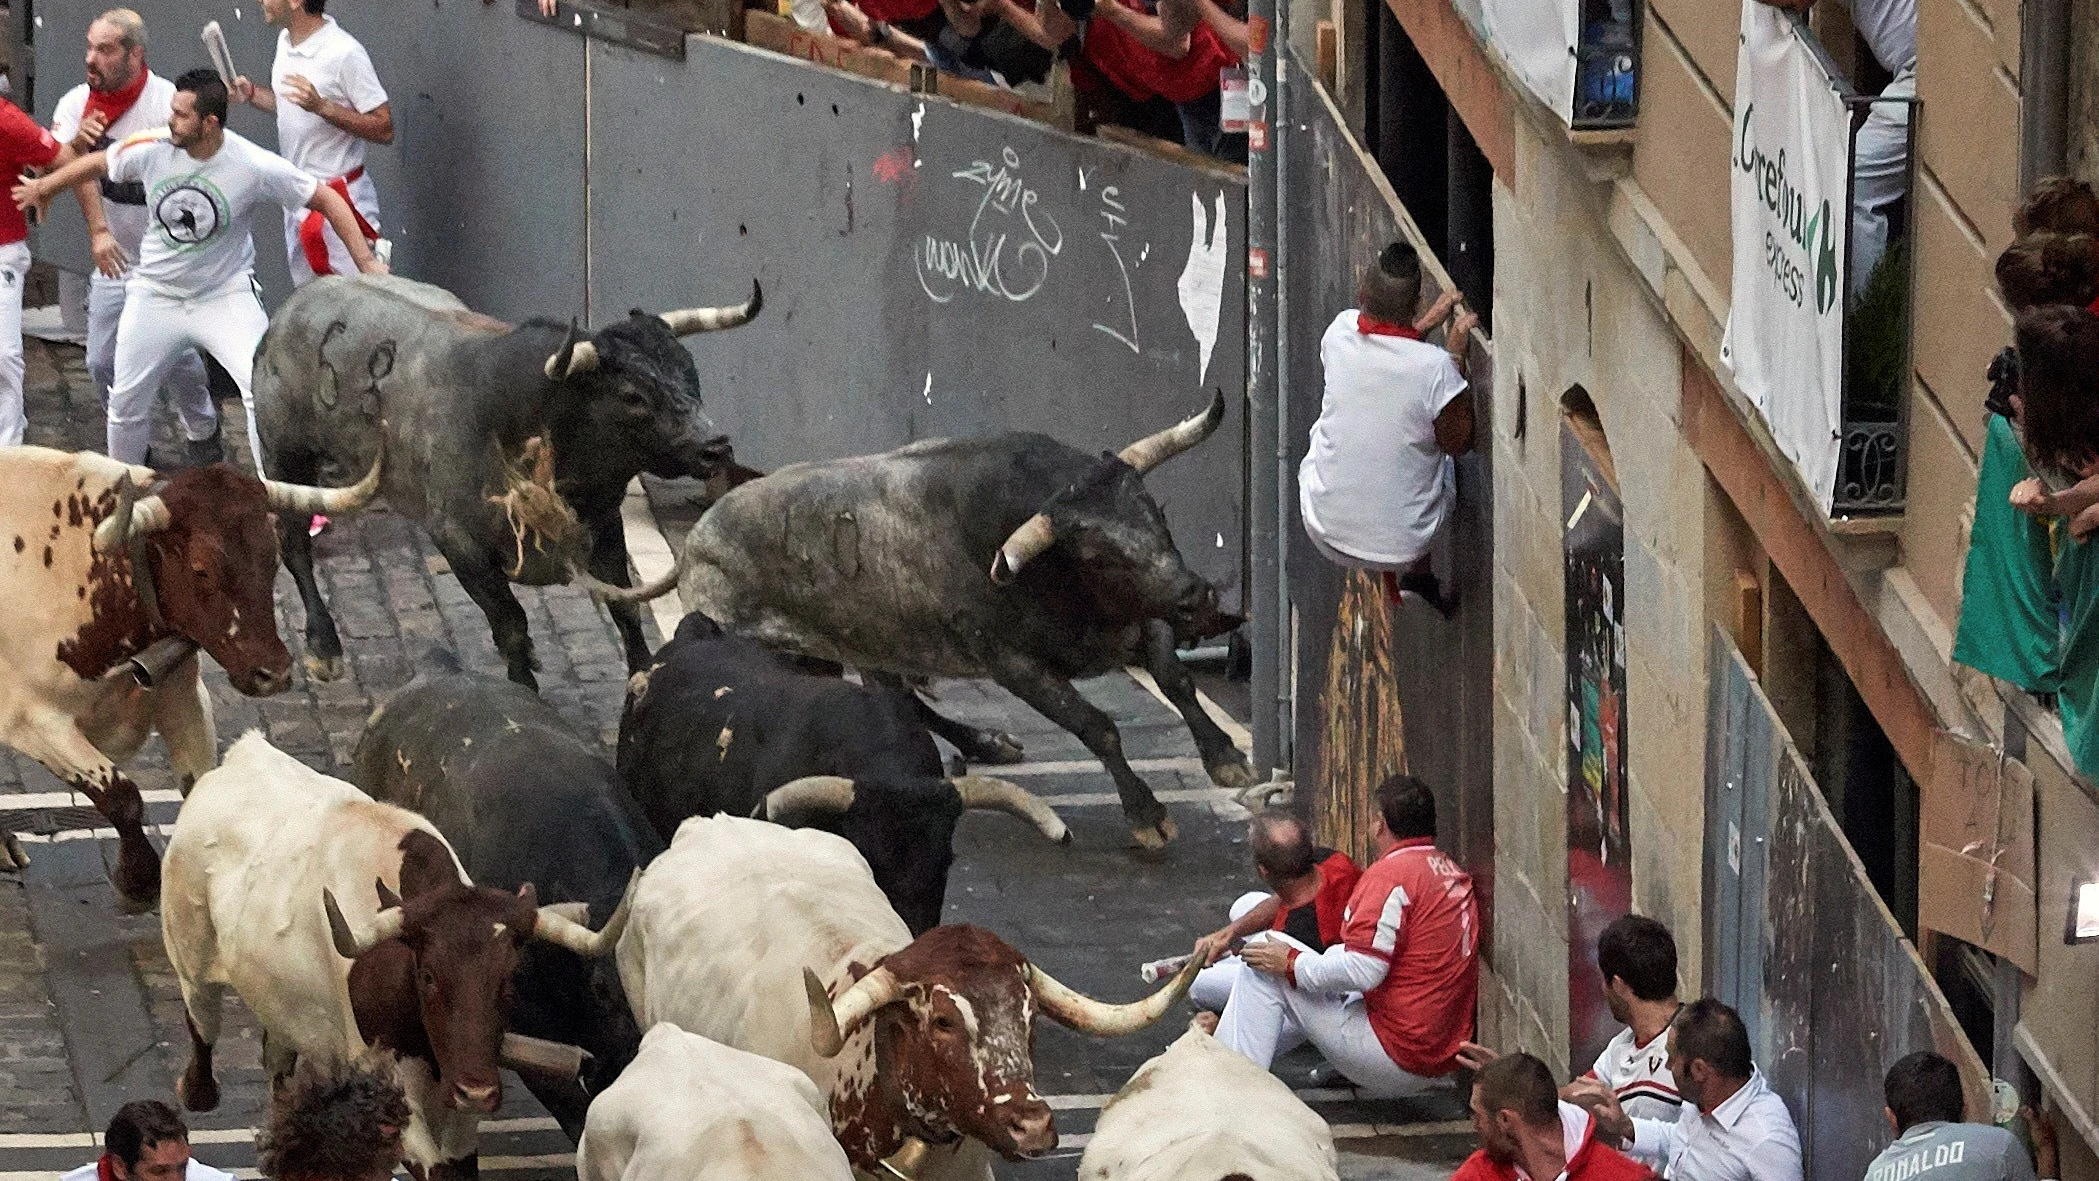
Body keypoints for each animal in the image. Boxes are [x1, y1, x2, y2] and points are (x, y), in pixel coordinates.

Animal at [251, 270, 764, 688]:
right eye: (632, 395)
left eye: (691, 371)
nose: (716, 446)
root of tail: (290, 310)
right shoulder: (460, 547)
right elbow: (512, 624)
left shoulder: (604, 527)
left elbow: (625, 609)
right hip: (286, 458)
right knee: (294, 545)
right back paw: (323, 647)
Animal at [680, 394, 1251, 851]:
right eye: (1095, 556)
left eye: (1157, 511)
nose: (1197, 595)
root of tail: (696, 545)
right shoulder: (1015, 666)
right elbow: (1096, 726)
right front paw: (1146, 814)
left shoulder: (1144, 620)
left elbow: (1176, 681)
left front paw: (1225, 758)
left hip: (873, 646)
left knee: (901, 700)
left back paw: (987, 742)